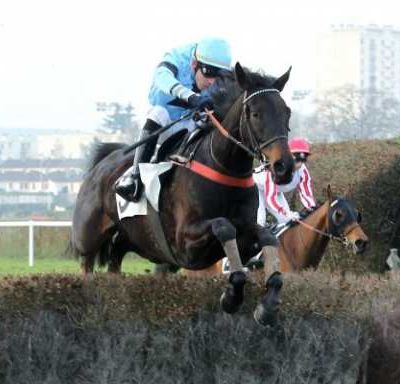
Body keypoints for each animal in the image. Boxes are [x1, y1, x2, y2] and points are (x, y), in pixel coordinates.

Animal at [69, 62, 294, 324]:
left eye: (286, 112)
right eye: (256, 113)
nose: (284, 166)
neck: (223, 167)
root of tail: (100, 166)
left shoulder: (245, 232)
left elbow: (266, 237)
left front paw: (267, 305)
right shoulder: (184, 244)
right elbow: (223, 226)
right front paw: (231, 297)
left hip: (126, 241)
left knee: (114, 265)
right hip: (88, 241)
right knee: (87, 267)